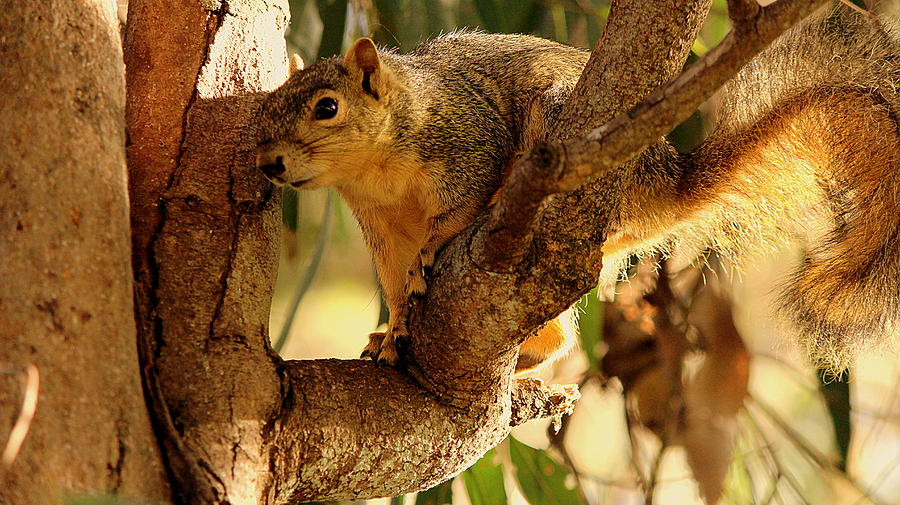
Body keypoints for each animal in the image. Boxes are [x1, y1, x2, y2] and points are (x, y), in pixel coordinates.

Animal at [255, 4, 900, 370]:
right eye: (265, 107)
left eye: (327, 107)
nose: (269, 164)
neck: (375, 168)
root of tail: (667, 184)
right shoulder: (380, 225)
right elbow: (391, 280)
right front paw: (393, 334)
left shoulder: (465, 139)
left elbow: (462, 204)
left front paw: (434, 248)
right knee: (559, 336)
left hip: (559, 121)